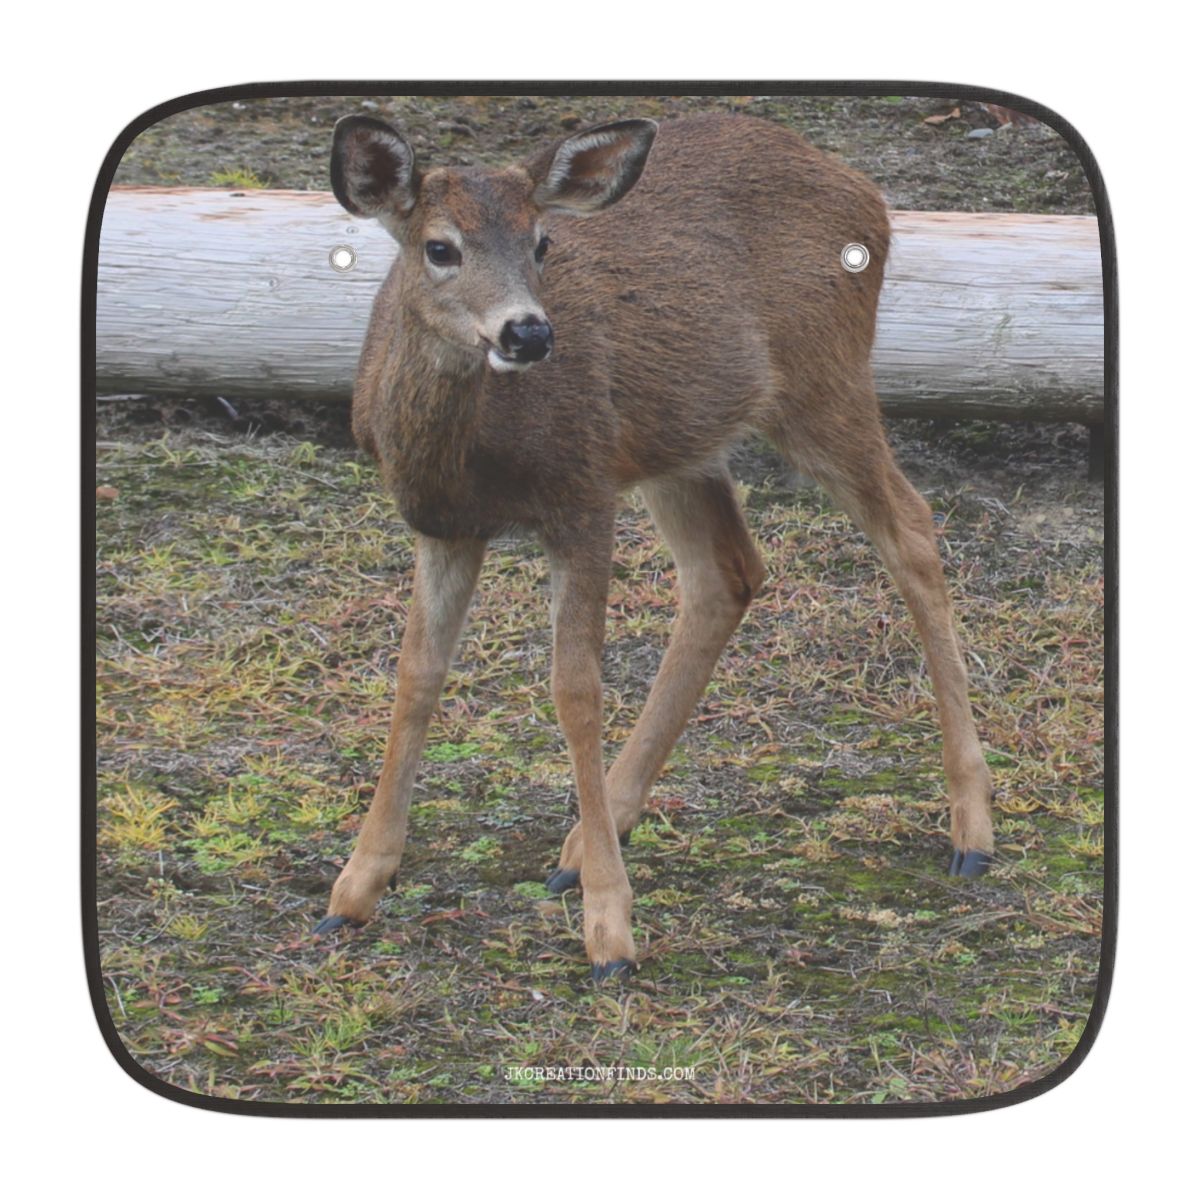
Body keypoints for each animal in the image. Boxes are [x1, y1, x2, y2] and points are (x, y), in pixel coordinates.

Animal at [313, 111, 995, 981]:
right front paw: (355, 887)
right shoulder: (443, 525)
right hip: (679, 442)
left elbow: (575, 689)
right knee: (729, 572)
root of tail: (865, 191)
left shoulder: (582, 493)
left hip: (820, 382)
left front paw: (610, 932)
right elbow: (416, 677)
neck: (472, 452)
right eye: (440, 247)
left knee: (910, 526)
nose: (528, 332)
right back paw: (592, 834)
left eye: (542, 241)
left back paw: (972, 828)